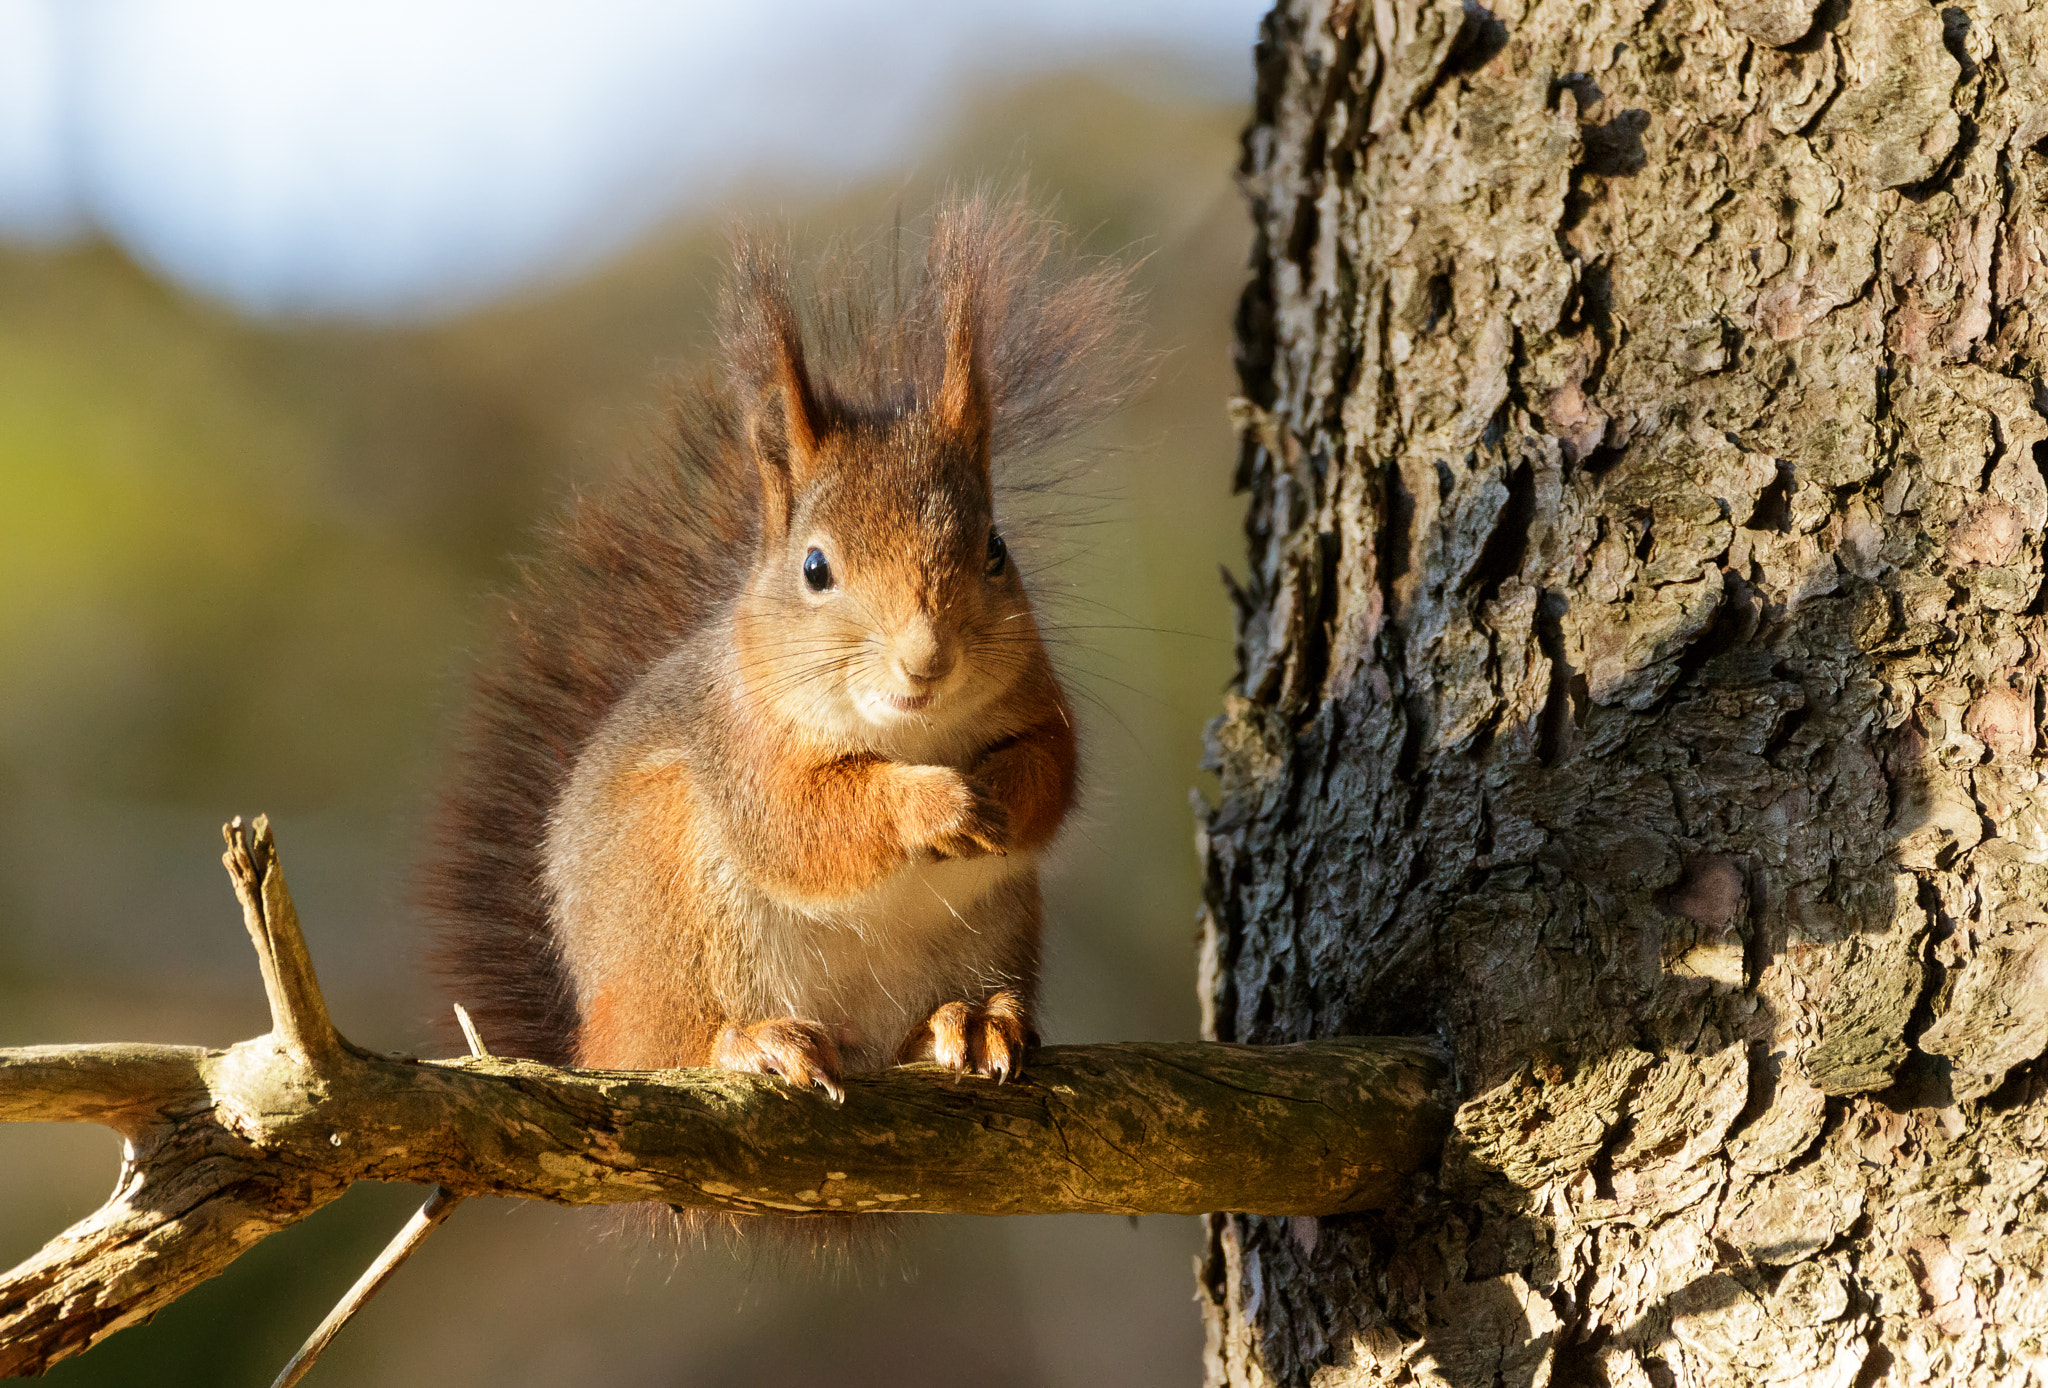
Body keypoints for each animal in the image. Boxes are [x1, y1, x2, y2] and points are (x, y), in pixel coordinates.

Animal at [422, 195, 1140, 1143]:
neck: (915, 734)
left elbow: (1056, 771)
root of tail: (587, 1029)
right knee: (667, 1046)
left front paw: (1003, 792)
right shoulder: (743, 747)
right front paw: (936, 803)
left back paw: (967, 1019)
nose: (927, 658)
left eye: (995, 549)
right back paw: (751, 1042)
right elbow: (805, 825)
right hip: (669, 923)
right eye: (815, 567)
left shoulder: (1039, 697)